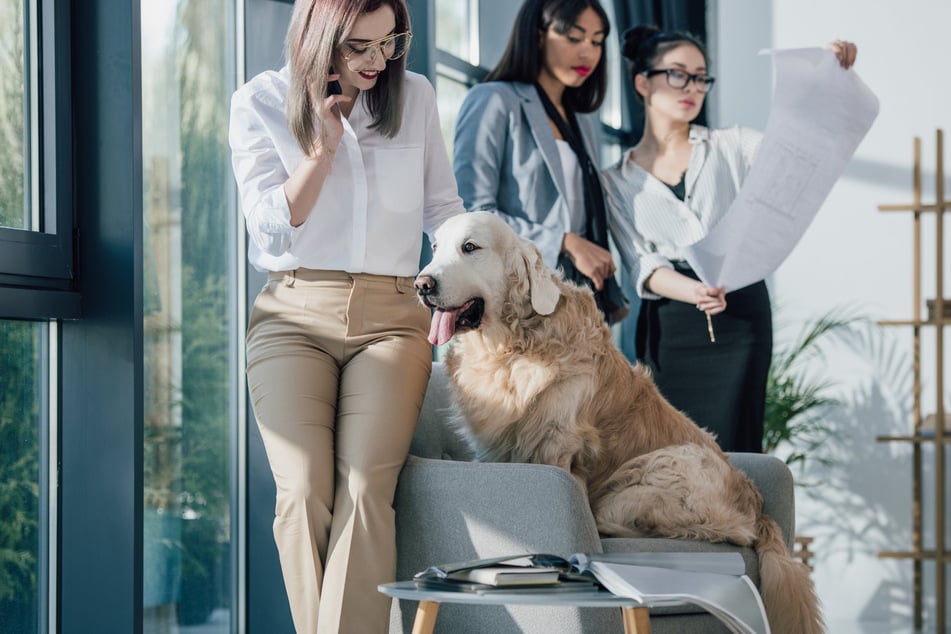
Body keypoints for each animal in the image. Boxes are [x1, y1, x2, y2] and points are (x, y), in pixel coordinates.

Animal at [416, 211, 824, 632]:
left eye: (470, 247)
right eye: (435, 248)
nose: (422, 284)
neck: (512, 345)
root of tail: (758, 510)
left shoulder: (556, 448)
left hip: (660, 470)